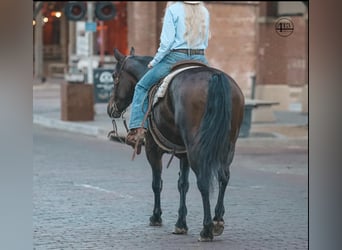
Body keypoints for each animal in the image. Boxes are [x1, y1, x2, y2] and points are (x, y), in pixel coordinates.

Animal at [108, 47, 244, 242]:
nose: (110, 108)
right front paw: (181, 223)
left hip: (197, 149)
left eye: (113, 76)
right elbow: (183, 185)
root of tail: (215, 77)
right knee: (223, 177)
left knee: (203, 181)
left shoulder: (153, 149)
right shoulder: (184, 153)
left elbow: (157, 183)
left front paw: (156, 216)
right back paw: (218, 220)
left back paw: (207, 229)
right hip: (227, 146)